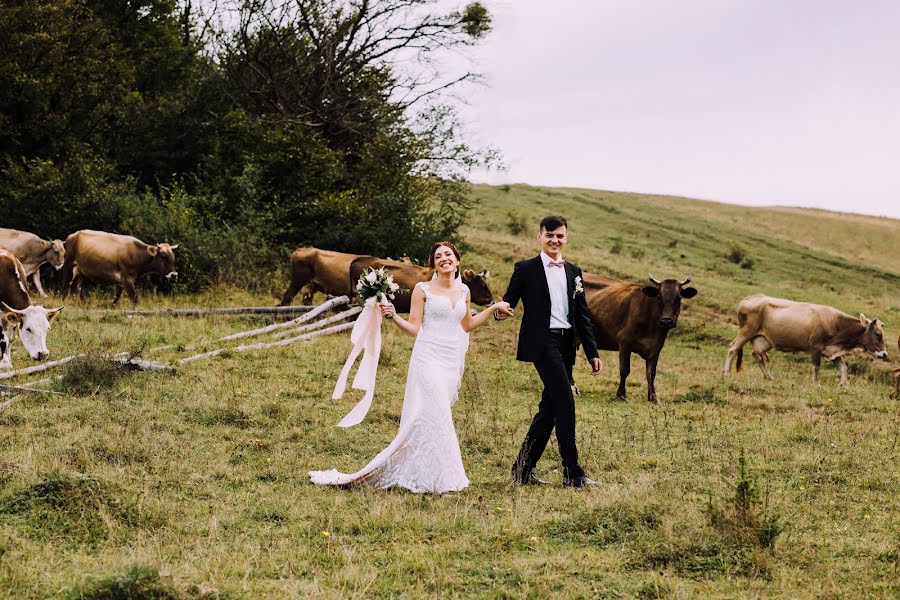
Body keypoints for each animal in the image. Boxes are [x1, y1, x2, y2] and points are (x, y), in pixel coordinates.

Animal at [580, 274, 700, 404]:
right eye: (659, 296)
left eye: (679, 297)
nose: (666, 321)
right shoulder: (624, 342)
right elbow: (625, 370)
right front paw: (621, 395)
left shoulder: (656, 348)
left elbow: (651, 374)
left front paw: (653, 398)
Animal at [720, 292, 888, 386]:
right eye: (877, 334)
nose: (885, 354)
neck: (837, 323)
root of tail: (749, 298)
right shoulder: (816, 347)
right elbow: (816, 366)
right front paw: (815, 384)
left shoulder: (832, 351)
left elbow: (843, 368)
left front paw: (843, 385)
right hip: (746, 331)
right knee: (733, 349)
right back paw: (726, 374)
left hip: (762, 340)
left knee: (757, 355)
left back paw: (769, 377)